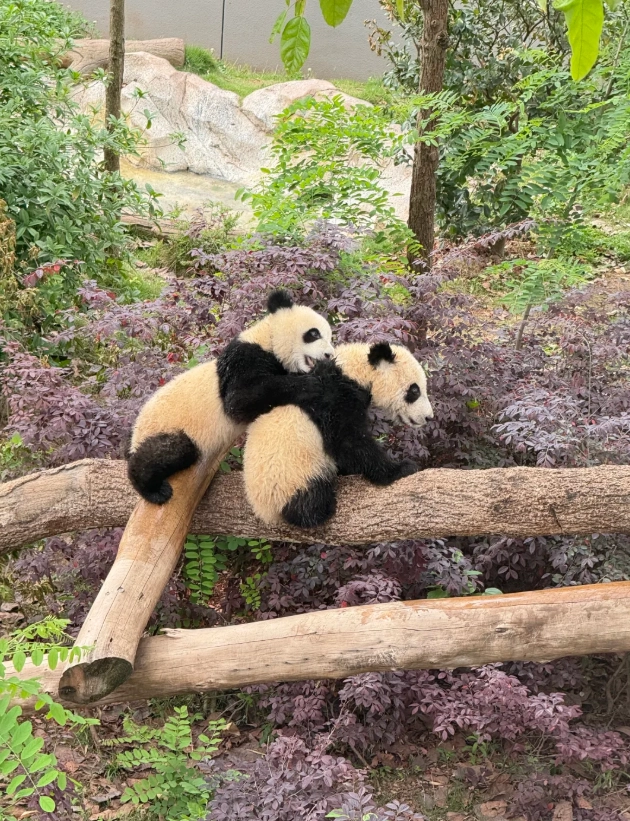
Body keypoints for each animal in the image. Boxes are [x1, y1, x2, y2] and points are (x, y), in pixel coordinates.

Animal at [127, 290, 334, 505]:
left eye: (330, 337)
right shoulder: (244, 359)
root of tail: (136, 432)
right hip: (168, 426)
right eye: (314, 334)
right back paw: (152, 488)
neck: (268, 339)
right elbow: (239, 401)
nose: (329, 354)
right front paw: (312, 383)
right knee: (168, 450)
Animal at [242, 341, 434, 528]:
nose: (428, 417)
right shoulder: (334, 397)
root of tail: (263, 511)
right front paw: (401, 468)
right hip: (293, 475)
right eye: (415, 391)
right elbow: (349, 441)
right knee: (307, 500)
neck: (353, 370)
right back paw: (321, 509)